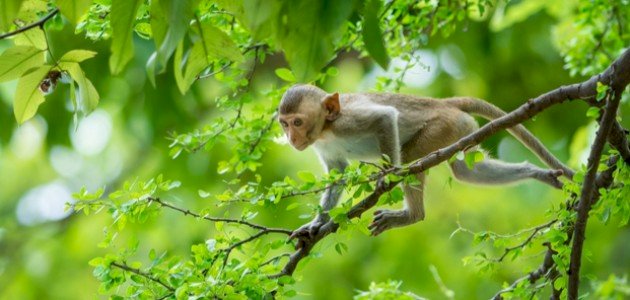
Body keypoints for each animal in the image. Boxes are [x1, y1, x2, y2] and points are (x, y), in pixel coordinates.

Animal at [278, 84, 576, 239]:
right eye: (284, 124)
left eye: (297, 122)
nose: (292, 138)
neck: (326, 129)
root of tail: (442, 102)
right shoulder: (324, 146)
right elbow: (339, 173)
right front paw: (315, 224)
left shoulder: (348, 121)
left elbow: (385, 118)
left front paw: (387, 175)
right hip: (461, 127)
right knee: (465, 170)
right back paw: (535, 172)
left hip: (442, 126)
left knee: (412, 158)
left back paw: (412, 215)